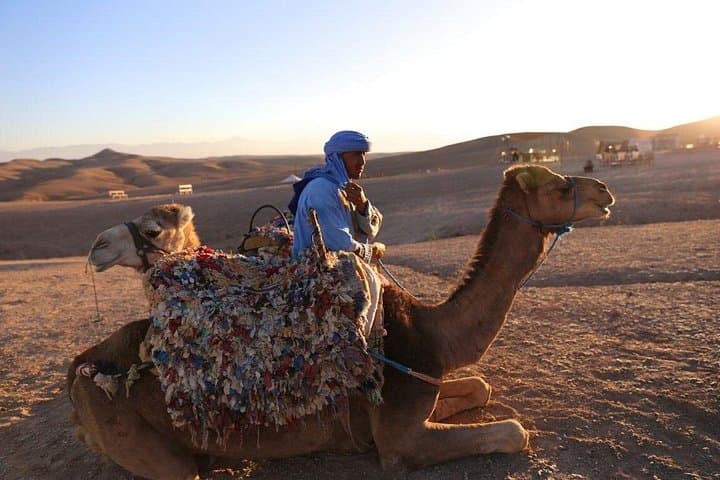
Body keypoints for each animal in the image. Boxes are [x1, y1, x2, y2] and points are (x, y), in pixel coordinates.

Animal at [69, 165, 614, 479]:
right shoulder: (399, 441)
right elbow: (514, 431)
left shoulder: (422, 381)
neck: (432, 333)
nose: (605, 191)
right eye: (561, 185)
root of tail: (79, 372)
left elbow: (479, 385)